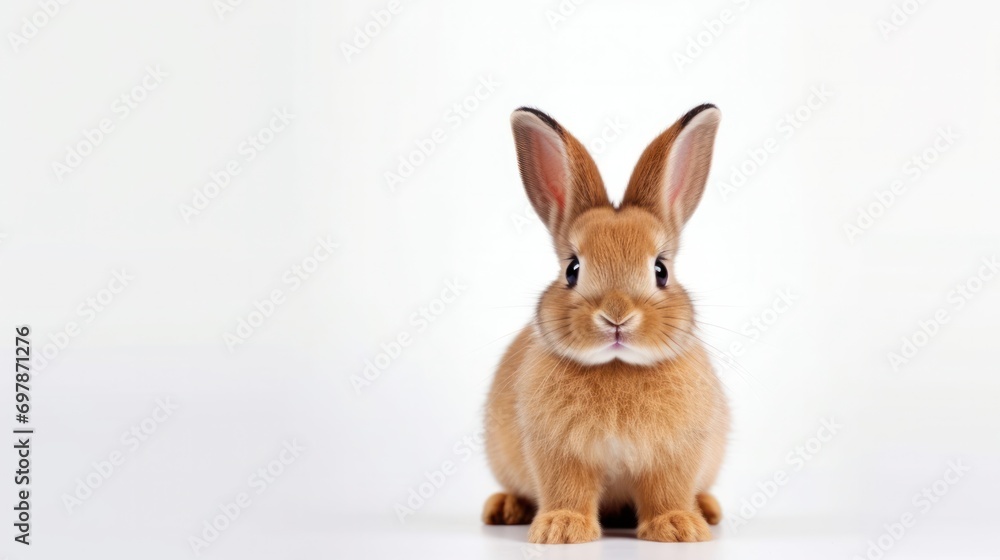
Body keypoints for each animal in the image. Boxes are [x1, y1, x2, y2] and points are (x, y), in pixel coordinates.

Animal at [482, 104, 730, 544]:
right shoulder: (560, 453)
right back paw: (504, 508)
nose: (617, 317)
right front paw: (562, 530)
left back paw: (707, 509)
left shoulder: (674, 454)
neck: (618, 367)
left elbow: (668, 490)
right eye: (572, 269)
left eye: (661, 270)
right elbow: (568, 489)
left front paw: (678, 528)